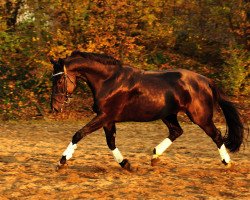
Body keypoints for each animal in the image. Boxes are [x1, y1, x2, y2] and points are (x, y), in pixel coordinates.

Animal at [50, 50, 244, 170]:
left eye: (59, 81)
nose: (55, 108)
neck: (108, 80)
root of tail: (206, 81)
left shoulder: (104, 116)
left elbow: (79, 134)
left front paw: (62, 161)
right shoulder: (108, 119)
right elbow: (110, 142)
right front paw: (126, 164)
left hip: (200, 117)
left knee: (216, 135)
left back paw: (227, 162)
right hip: (168, 115)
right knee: (176, 131)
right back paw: (155, 156)